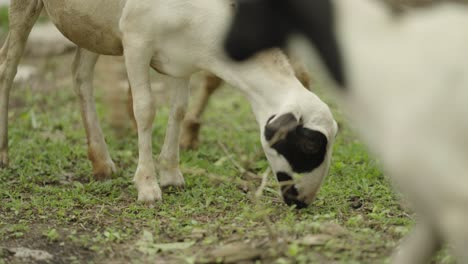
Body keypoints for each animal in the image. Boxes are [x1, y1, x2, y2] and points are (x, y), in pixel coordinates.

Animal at [0, 0, 336, 206]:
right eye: (310, 144)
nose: (303, 202)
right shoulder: (136, 41)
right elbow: (146, 110)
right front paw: (148, 186)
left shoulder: (181, 59)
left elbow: (178, 110)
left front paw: (172, 175)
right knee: (7, 66)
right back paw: (3, 154)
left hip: (94, 25)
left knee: (80, 75)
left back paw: (102, 162)